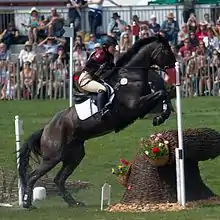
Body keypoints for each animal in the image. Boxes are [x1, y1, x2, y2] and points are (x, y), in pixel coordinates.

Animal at [18, 34, 176, 208]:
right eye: (166, 49)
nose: (174, 63)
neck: (130, 76)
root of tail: (46, 129)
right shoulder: (135, 106)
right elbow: (161, 93)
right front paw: (160, 116)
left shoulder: (142, 107)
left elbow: (163, 94)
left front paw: (161, 116)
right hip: (52, 157)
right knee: (33, 176)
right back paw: (27, 203)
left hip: (75, 155)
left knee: (59, 179)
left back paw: (74, 203)